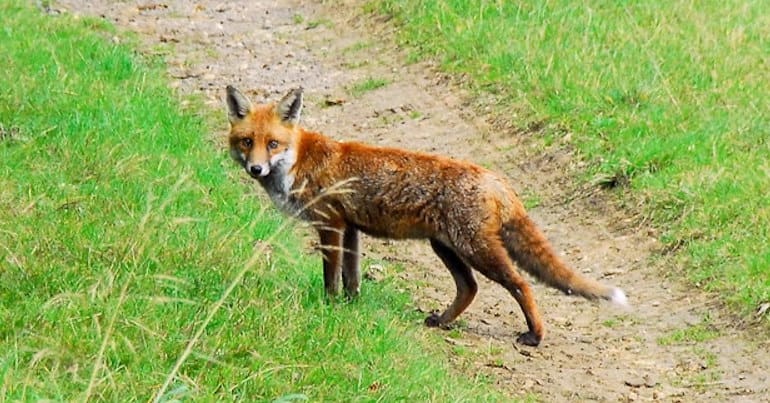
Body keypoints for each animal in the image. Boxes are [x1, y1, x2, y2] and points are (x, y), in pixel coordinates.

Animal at [225, 85, 628, 348]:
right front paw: (351, 310)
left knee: (520, 284)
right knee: (470, 288)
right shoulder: (351, 228)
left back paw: (535, 335)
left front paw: (329, 308)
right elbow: (353, 279)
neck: (298, 160)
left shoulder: (331, 224)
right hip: (445, 247)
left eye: (272, 143)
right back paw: (443, 321)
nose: (256, 169)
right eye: (247, 142)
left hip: (477, 250)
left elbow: (331, 278)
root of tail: (496, 179)